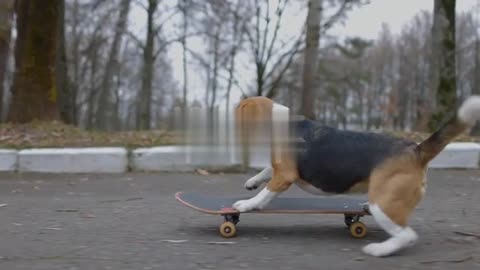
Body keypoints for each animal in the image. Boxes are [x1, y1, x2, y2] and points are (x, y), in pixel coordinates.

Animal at [232, 95, 480, 258]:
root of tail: (416, 150)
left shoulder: (285, 175)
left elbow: (265, 193)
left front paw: (247, 204)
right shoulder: (279, 169)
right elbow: (266, 171)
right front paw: (251, 182)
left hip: (384, 203)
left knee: (407, 235)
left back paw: (380, 250)